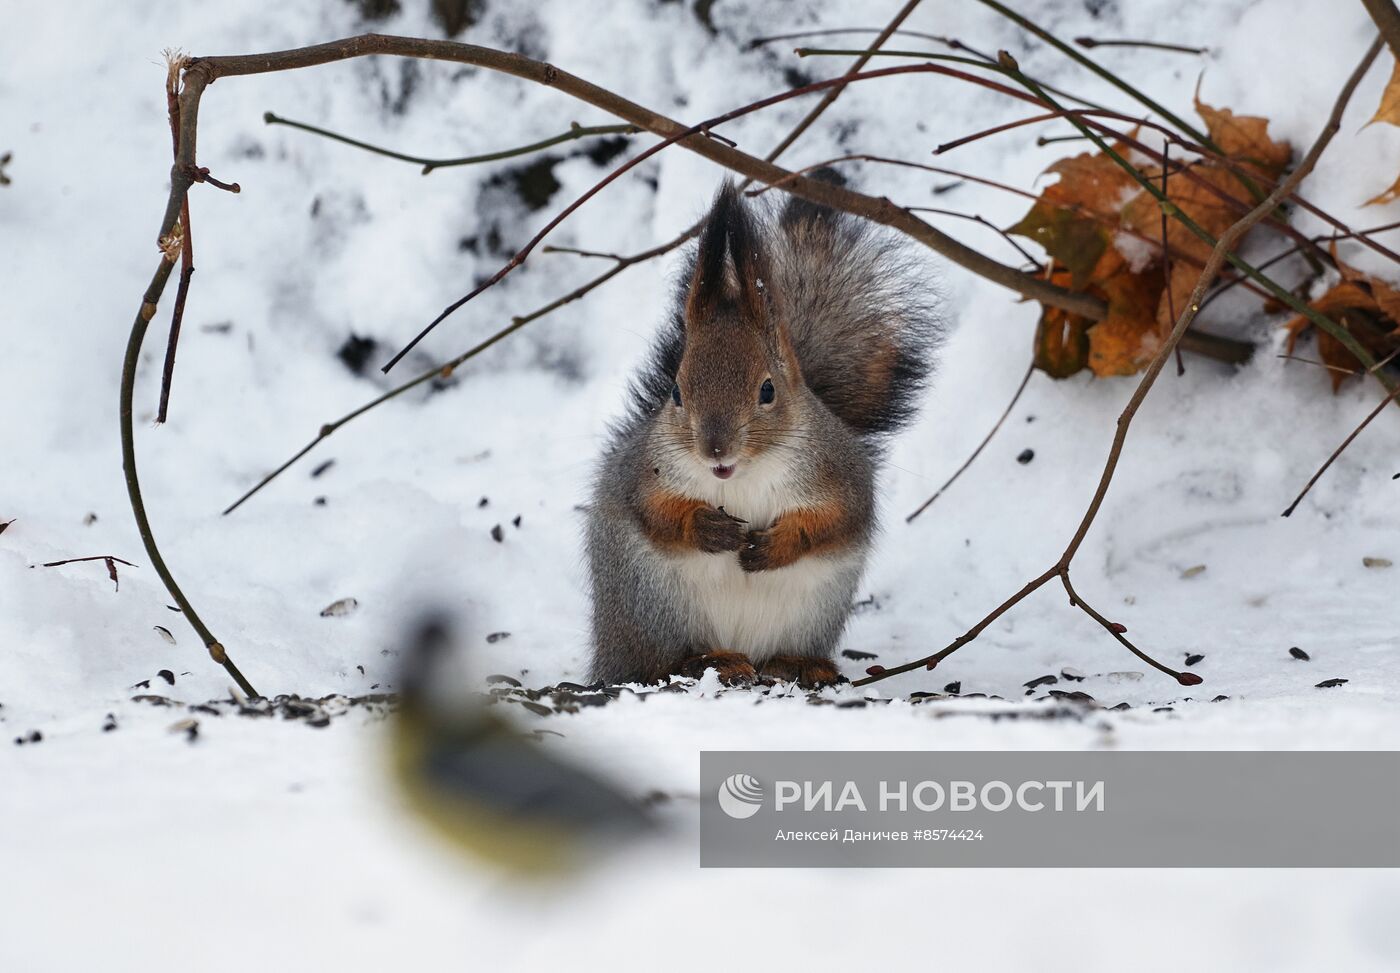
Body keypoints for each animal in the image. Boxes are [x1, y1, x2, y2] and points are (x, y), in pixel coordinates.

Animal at [585, 175, 935, 691]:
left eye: (767, 390)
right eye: (676, 392)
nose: (714, 449)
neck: (743, 475)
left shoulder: (839, 472)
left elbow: (835, 519)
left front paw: (779, 543)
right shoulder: (644, 471)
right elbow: (655, 510)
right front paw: (706, 527)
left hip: (810, 611)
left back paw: (797, 664)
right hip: (655, 609)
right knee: (656, 664)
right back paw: (704, 662)